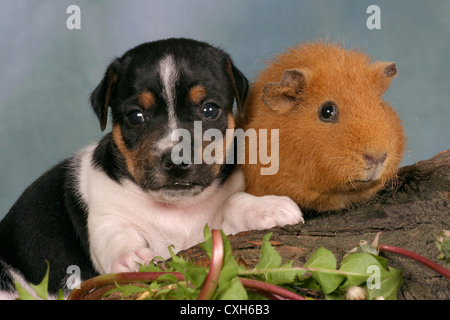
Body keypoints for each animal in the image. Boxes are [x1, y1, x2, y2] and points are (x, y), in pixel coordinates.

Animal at [0, 39, 304, 298]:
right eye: (136, 116)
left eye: (209, 110)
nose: (177, 160)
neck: (176, 209)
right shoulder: (107, 216)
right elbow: (117, 236)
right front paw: (132, 257)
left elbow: (234, 202)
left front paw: (268, 207)